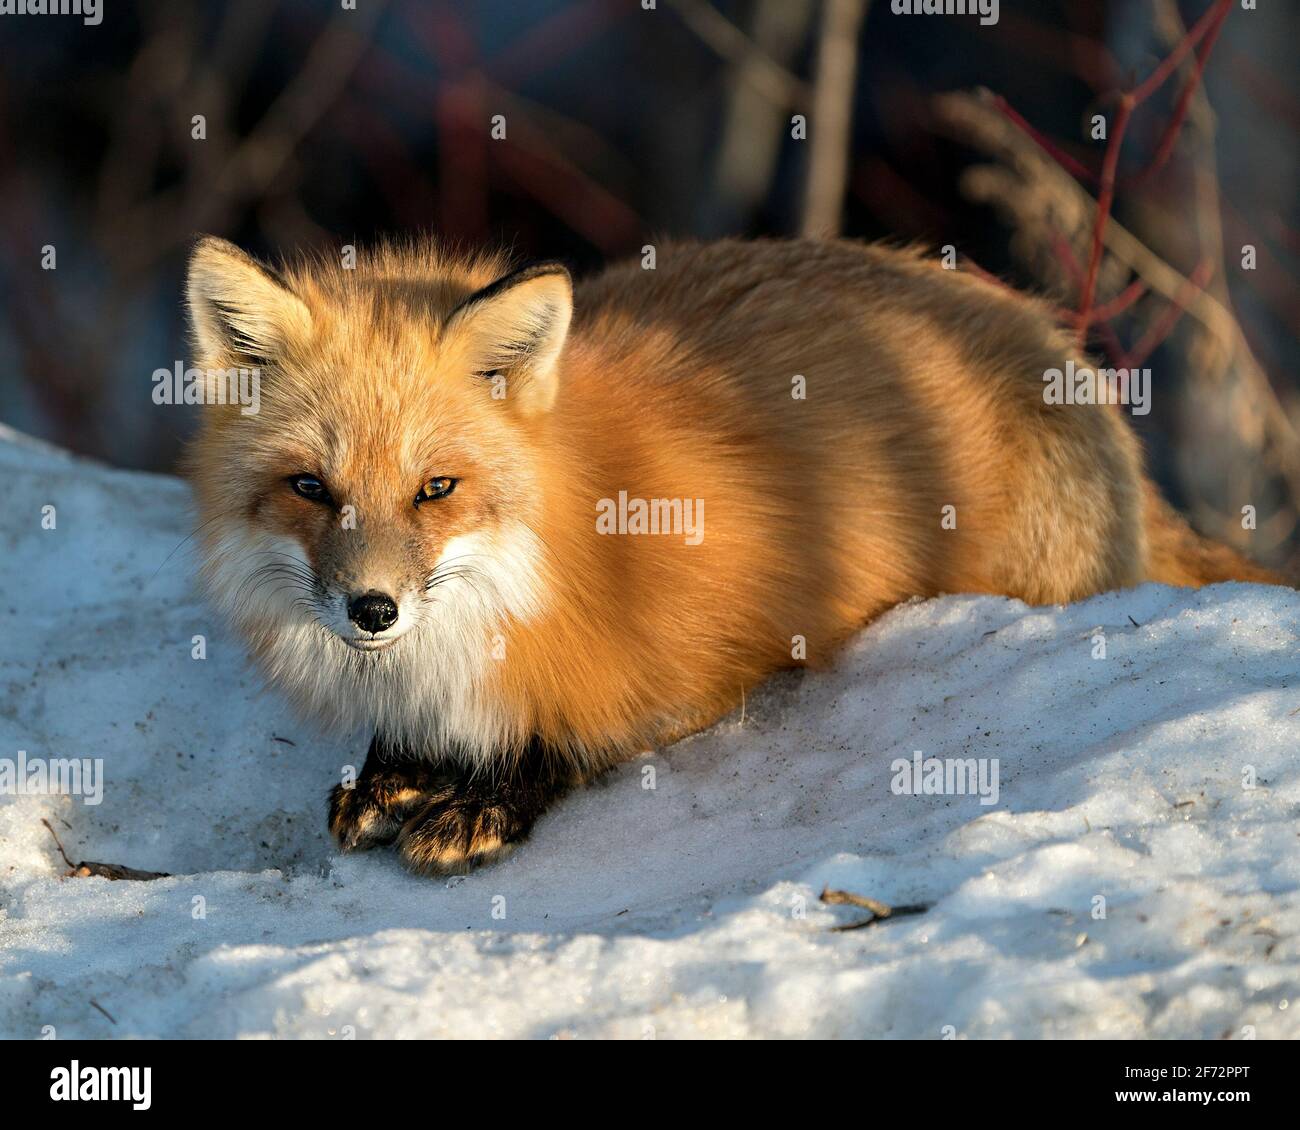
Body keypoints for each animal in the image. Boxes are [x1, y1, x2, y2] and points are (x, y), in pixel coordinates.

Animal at [185, 235, 1289, 873]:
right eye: (311, 488)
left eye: (436, 489)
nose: (371, 610)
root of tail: (1055, 338)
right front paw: (393, 774)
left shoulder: (714, 655)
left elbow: (578, 736)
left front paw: (486, 798)